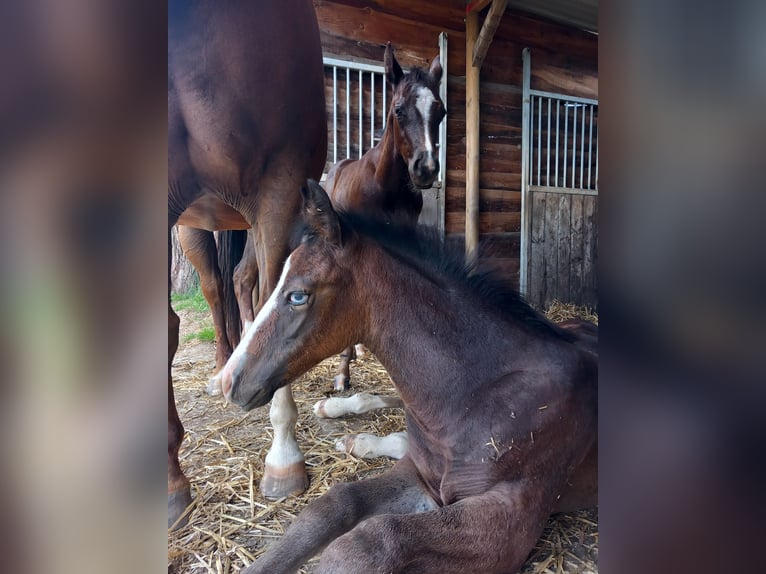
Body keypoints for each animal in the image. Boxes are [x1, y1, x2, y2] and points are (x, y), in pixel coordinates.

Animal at [168, 0, 327, 528]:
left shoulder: (279, 183)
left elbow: (272, 297)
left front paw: (284, 459)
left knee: (237, 283)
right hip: (193, 225)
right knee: (216, 291)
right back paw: (223, 364)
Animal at [222, 180, 598, 574]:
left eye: (297, 295)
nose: (229, 381)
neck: (475, 395)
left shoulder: (509, 522)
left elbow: (367, 541)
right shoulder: (419, 475)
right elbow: (332, 505)